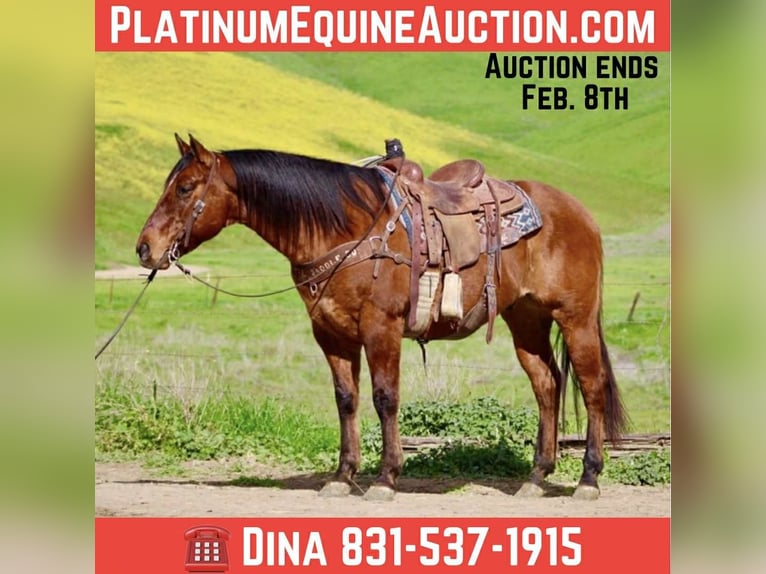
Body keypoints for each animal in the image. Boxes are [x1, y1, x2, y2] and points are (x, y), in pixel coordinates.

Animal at [136, 134, 627, 501]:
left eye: (185, 188)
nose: (145, 248)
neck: (345, 228)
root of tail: (580, 213)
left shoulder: (381, 328)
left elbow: (385, 398)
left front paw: (386, 478)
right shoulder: (331, 334)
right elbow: (346, 400)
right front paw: (342, 476)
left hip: (576, 319)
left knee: (591, 386)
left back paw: (588, 478)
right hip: (525, 320)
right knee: (547, 384)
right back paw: (536, 477)